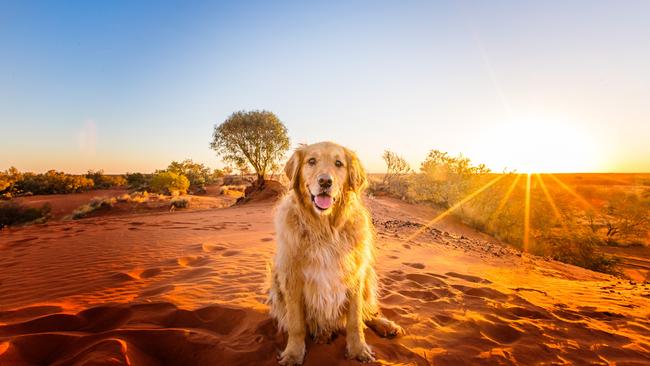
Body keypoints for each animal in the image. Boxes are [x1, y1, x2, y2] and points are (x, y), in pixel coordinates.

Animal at [268, 142, 400, 364]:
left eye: (339, 163)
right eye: (311, 161)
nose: (325, 181)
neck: (325, 228)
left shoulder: (355, 275)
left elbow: (355, 320)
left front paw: (358, 349)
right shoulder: (291, 277)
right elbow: (296, 324)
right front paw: (293, 353)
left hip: (368, 276)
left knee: (368, 313)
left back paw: (385, 325)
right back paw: (323, 335)